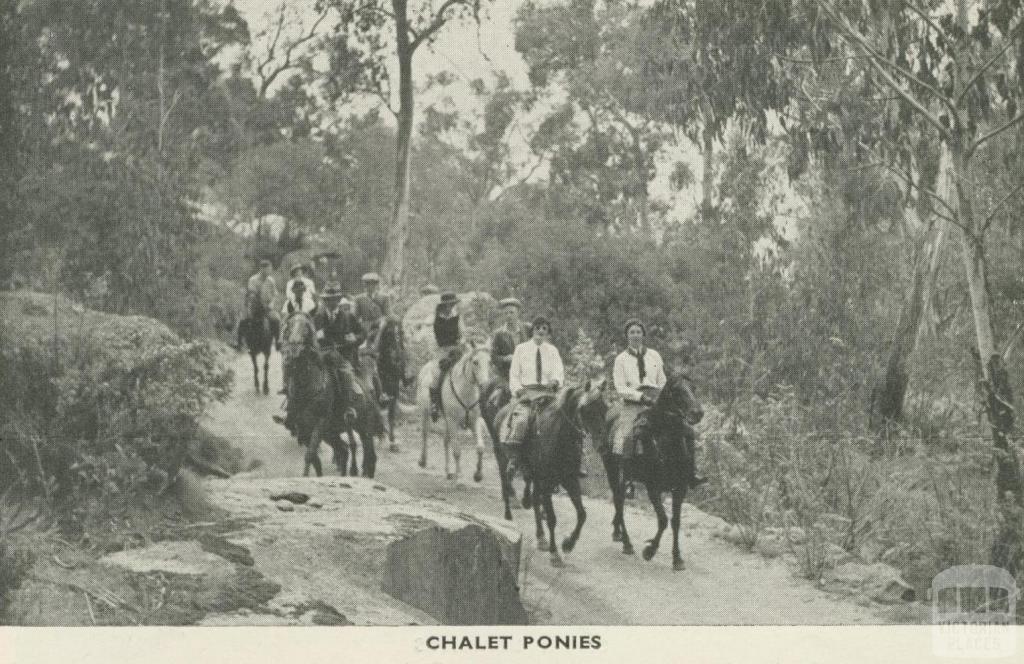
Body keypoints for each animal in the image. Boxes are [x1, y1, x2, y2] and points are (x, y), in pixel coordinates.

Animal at [417, 342, 493, 481]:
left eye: (489, 361)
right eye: (475, 362)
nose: (485, 386)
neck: (466, 392)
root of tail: (425, 368)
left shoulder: (474, 421)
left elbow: (480, 448)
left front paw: (478, 474)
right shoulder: (453, 422)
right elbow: (457, 451)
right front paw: (459, 476)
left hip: (447, 421)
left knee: (446, 441)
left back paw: (448, 471)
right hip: (425, 412)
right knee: (425, 434)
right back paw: (423, 461)